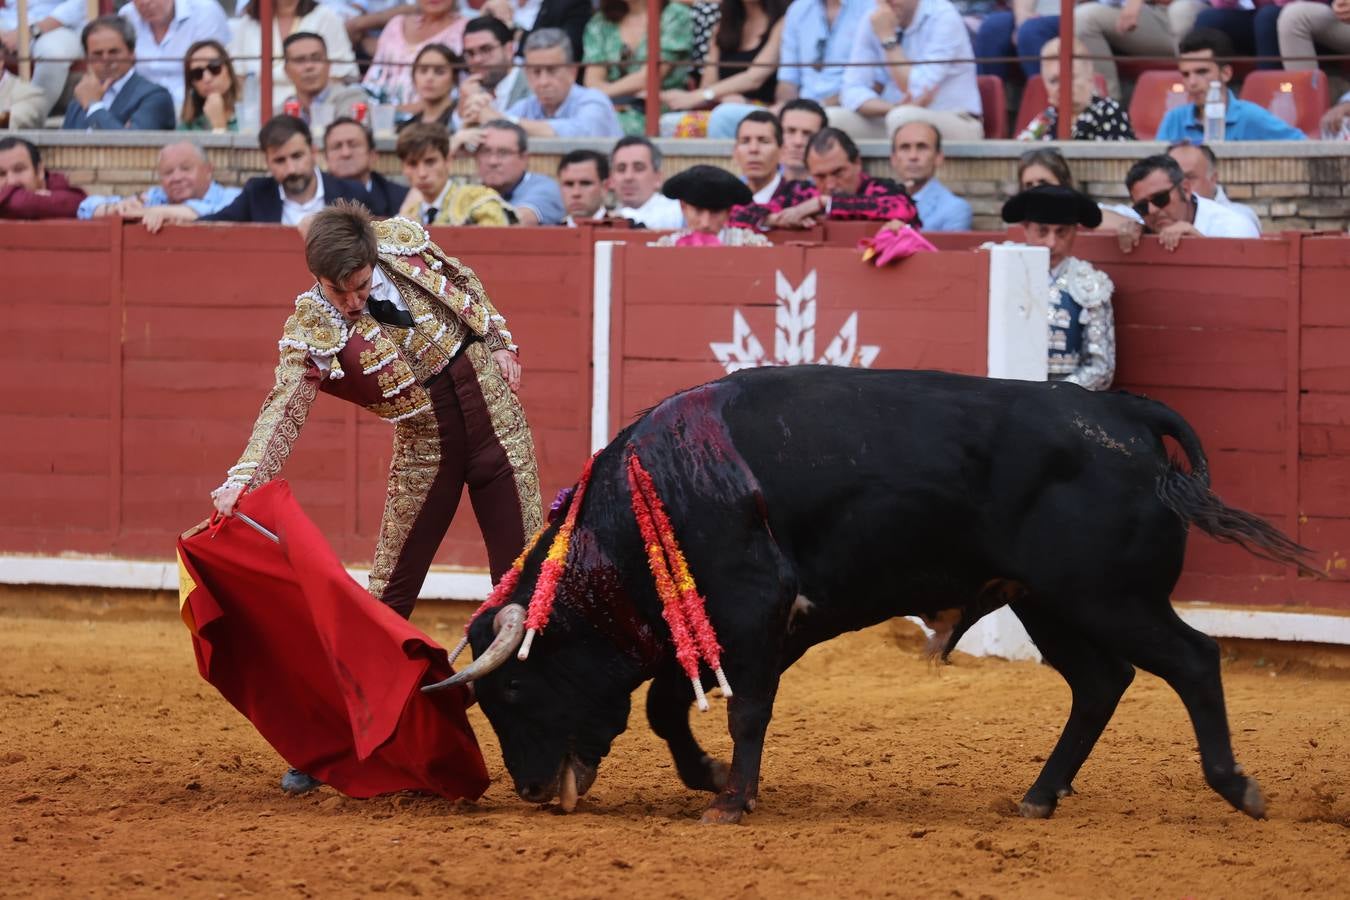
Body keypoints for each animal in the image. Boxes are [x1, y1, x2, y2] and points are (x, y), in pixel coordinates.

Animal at [426, 367, 1312, 825]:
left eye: (511, 689)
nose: (530, 789)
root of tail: (1120, 412)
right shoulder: (712, 626)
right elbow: (666, 706)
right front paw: (709, 777)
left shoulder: (751, 611)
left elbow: (743, 710)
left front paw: (731, 800)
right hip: (1048, 602)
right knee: (1101, 683)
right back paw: (1037, 796)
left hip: (1108, 596)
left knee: (1192, 661)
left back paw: (1237, 787)